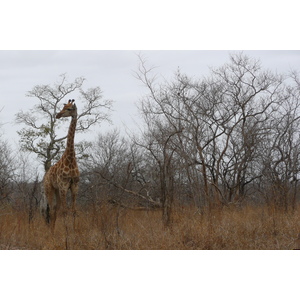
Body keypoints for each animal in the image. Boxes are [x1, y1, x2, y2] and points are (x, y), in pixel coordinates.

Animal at [42, 98, 79, 232]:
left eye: (69, 108)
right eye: (63, 107)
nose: (57, 115)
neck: (71, 158)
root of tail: (46, 175)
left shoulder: (74, 186)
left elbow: (73, 210)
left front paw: (75, 231)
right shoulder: (63, 186)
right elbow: (65, 211)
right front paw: (67, 233)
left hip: (57, 191)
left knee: (55, 210)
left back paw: (53, 232)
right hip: (50, 189)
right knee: (52, 210)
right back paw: (51, 233)